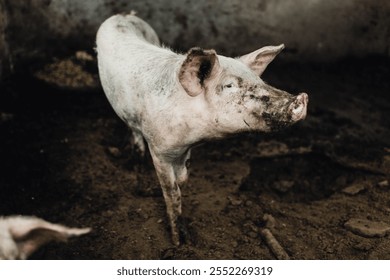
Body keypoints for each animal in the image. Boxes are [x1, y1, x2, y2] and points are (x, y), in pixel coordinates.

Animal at [95, 13, 308, 245]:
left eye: (259, 79)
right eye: (229, 86)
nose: (303, 97)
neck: (191, 137)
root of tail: (123, 15)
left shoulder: (185, 150)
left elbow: (183, 178)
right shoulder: (159, 150)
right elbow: (172, 192)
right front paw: (179, 242)